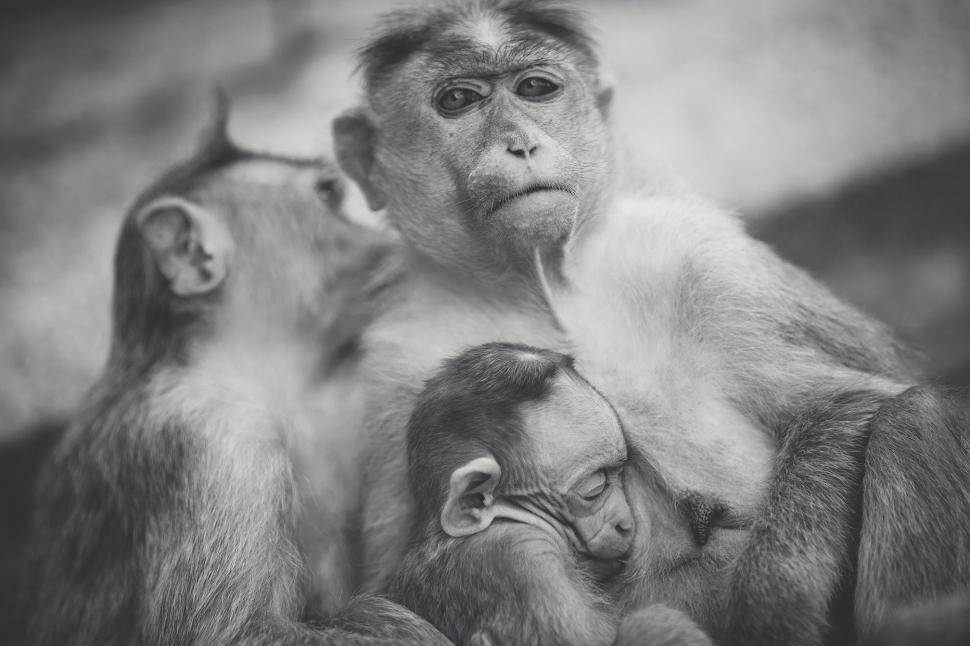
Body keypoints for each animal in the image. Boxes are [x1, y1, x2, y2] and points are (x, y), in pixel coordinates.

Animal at [331, 1, 970, 645]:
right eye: (459, 100)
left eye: (535, 88)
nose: (520, 145)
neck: (544, 285)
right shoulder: (396, 363)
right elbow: (395, 585)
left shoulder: (700, 262)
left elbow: (845, 404)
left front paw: (777, 602)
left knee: (914, 417)